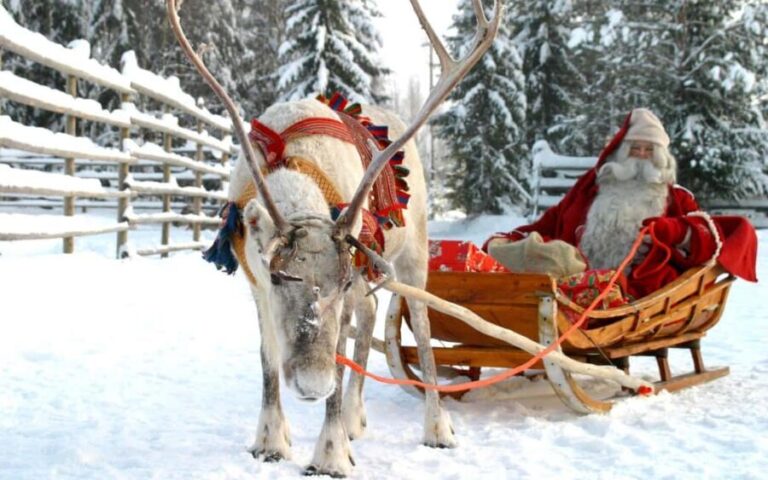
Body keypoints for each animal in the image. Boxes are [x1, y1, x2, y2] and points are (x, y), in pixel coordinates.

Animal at [166, 0, 501, 476]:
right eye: (278, 277)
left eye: (337, 283)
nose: (311, 385)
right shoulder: (256, 285)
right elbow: (268, 361)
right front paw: (271, 441)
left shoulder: (349, 280)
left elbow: (339, 362)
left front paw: (330, 454)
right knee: (372, 311)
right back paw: (354, 419)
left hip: (413, 251)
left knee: (419, 327)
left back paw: (436, 427)